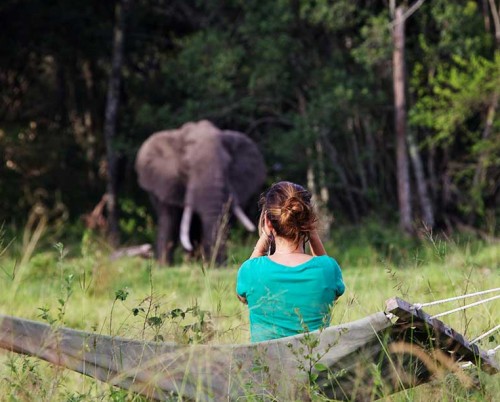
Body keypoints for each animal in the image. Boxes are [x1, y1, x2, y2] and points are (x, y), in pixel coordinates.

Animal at [133, 120, 266, 264]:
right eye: (186, 166)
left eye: (228, 165)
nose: (218, 264)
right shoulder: (166, 182)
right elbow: (170, 219)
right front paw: (164, 266)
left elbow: (225, 218)